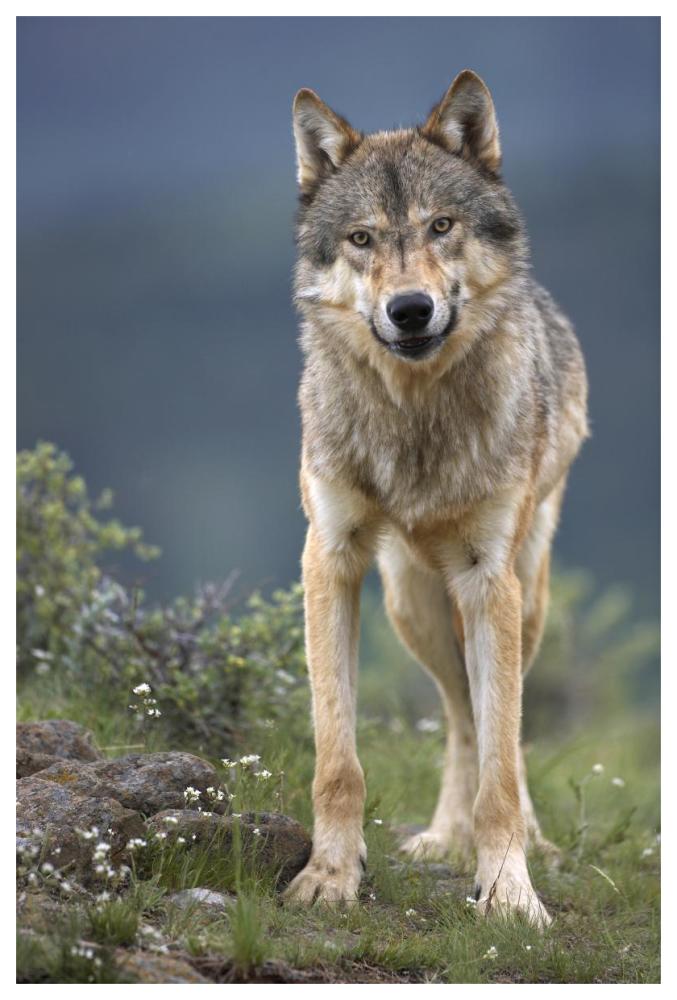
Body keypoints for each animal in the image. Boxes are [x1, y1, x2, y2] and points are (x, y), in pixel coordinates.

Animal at [283, 70, 588, 926]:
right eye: (361, 238)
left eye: (440, 225)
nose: (410, 308)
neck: (414, 423)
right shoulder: (330, 559)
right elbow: (338, 758)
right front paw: (329, 877)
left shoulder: (487, 579)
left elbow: (501, 763)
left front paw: (510, 890)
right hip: (410, 604)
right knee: (458, 715)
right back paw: (444, 840)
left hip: (520, 596)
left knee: (493, 730)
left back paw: (520, 844)